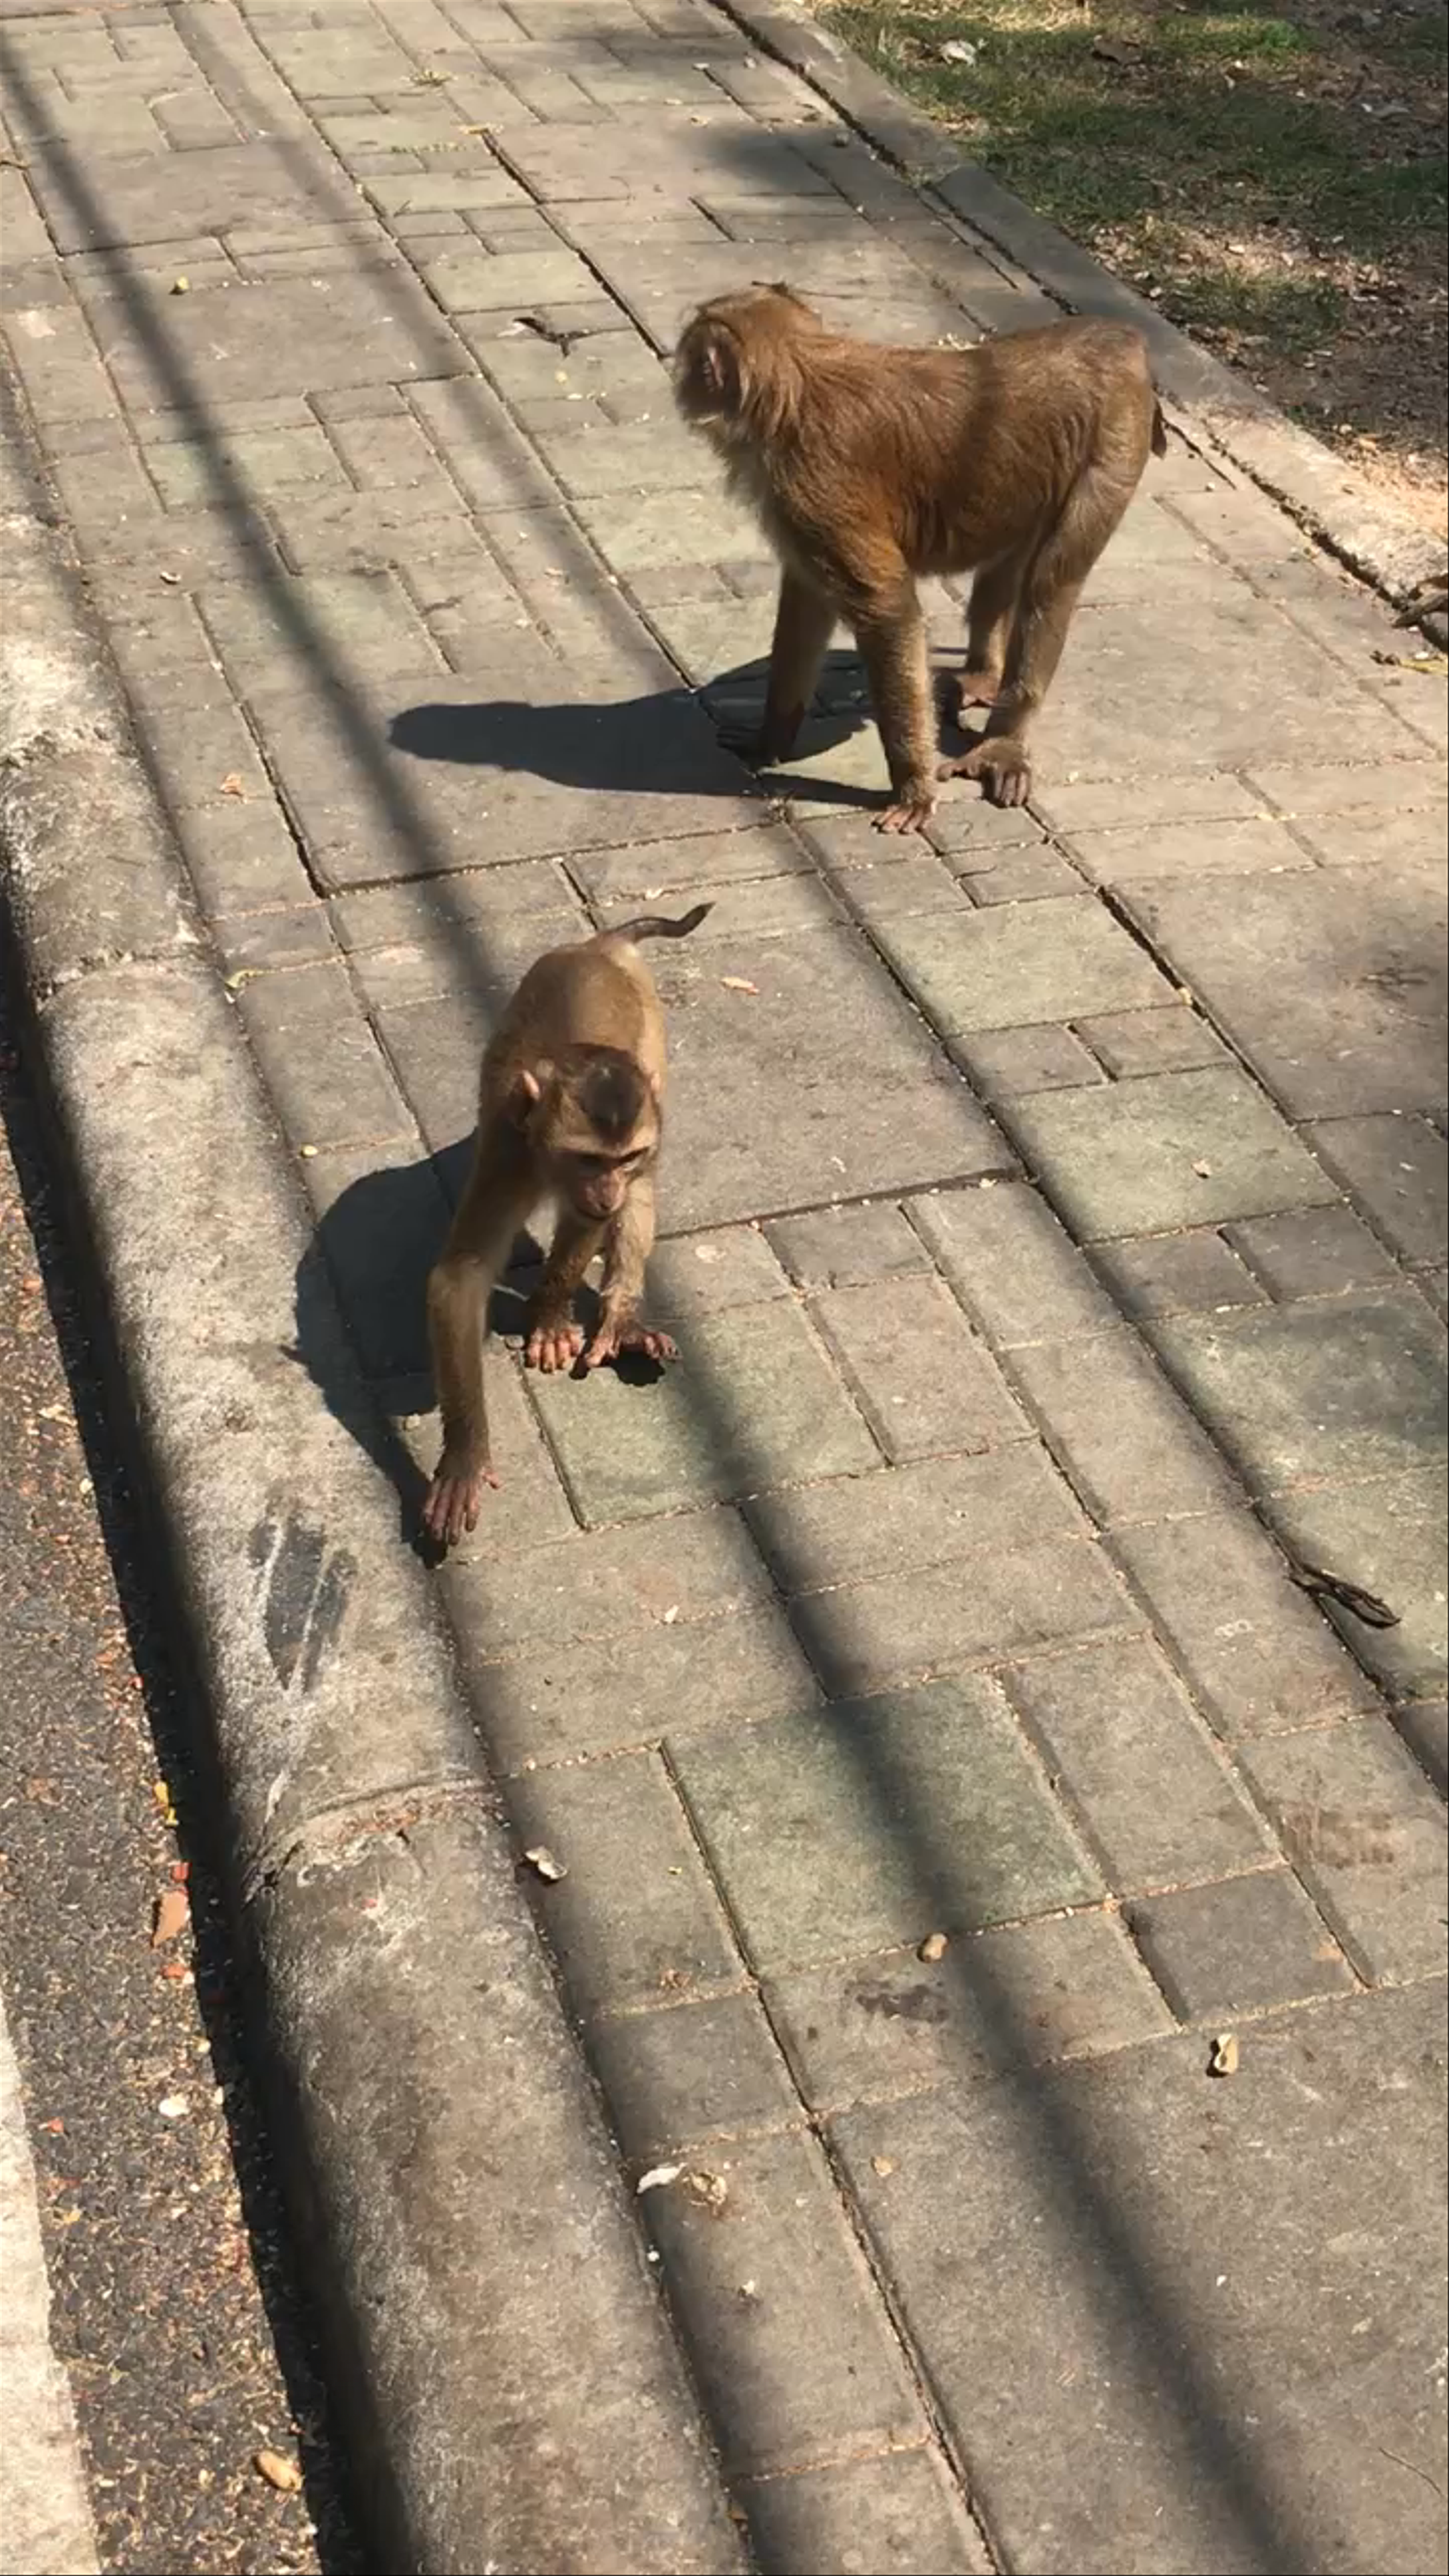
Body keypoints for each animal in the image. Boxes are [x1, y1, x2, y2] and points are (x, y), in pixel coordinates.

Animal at [422, 905, 711, 1548]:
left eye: (623, 1158)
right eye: (587, 1158)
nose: (608, 1189)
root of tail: (600, 947)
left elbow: (585, 1227)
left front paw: (551, 1315)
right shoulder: (510, 1150)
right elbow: (462, 1277)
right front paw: (465, 1454)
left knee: (643, 1194)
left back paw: (622, 1315)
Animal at [673, 285, 1166, 830]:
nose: (679, 371)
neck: (799, 382)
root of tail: (1120, 337)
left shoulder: (812, 493)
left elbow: (890, 615)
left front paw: (913, 789)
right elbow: (808, 607)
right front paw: (771, 740)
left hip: (1116, 439)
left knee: (1053, 580)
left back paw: (1004, 740)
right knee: (1008, 568)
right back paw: (983, 673)